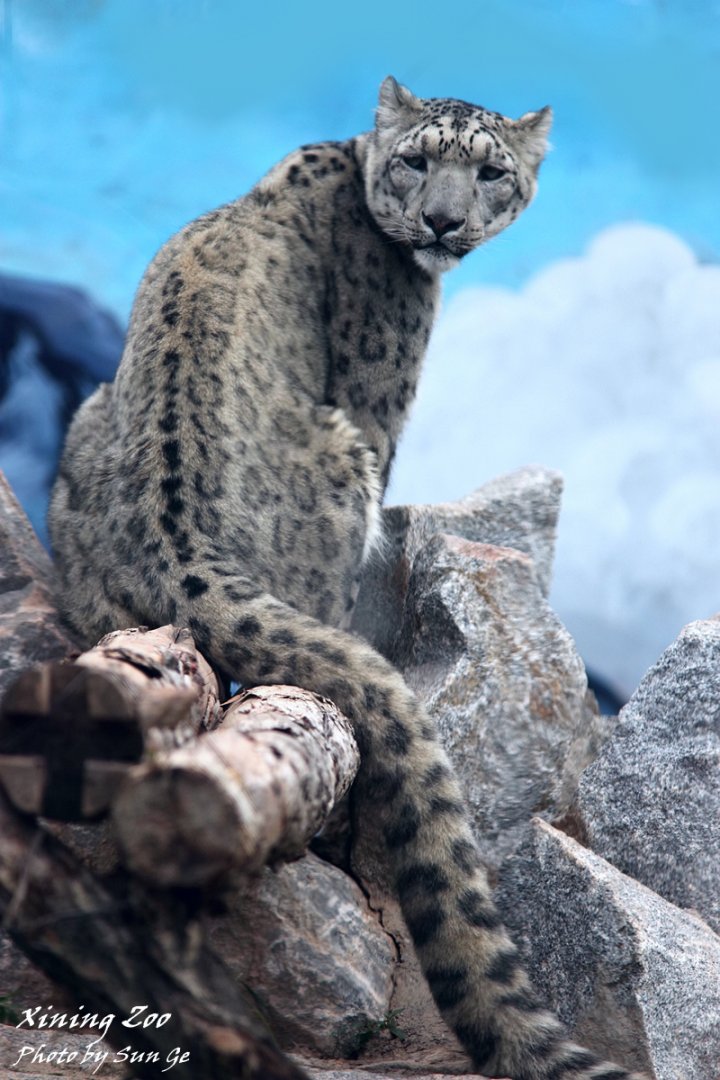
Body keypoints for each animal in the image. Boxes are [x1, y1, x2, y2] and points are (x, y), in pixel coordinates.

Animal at [49, 76, 645, 1080]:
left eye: (491, 171)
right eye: (417, 160)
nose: (442, 221)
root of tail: (182, 553)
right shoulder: (380, 395)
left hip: (87, 434)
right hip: (341, 452)